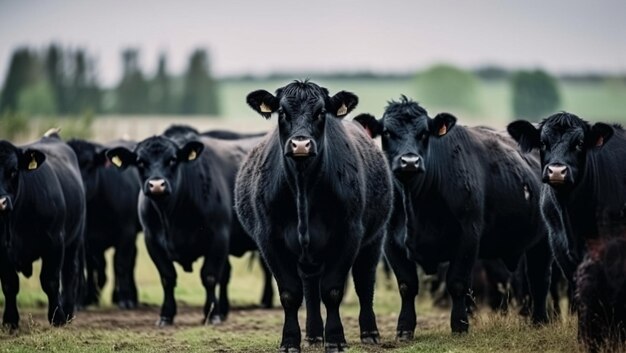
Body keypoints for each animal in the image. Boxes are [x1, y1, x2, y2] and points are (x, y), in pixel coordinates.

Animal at [0, 131, 85, 326]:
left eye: (13, 171)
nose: (1, 202)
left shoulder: (54, 243)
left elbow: (50, 280)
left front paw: (57, 317)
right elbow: (9, 284)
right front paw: (10, 320)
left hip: (74, 240)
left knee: (70, 272)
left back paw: (68, 310)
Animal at [67, 138, 142, 308]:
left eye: (89, 164)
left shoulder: (127, 233)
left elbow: (121, 264)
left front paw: (126, 300)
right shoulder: (84, 239)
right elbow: (85, 265)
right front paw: (82, 299)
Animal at [106, 130, 262, 324]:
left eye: (173, 159)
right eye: (140, 161)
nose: (156, 185)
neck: (172, 218)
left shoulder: (219, 237)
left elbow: (209, 276)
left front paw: (212, 314)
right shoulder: (152, 241)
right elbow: (167, 277)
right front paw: (166, 314)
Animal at [234, 80, 390, 352]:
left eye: (320, 112)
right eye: (282, 112)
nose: (300, 145)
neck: (303, 185)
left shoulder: (349, 235)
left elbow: (333, 290)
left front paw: (336, 339)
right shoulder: (269, 240)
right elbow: (291, 294)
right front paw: (290, 341)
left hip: (374, 238)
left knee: (364, 281)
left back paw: (369, 332)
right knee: (310, 288)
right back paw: (314, 334)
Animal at [354, 95, 548, 336]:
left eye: (424, 133)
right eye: (388, 132)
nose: (410, 161)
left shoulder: (468, 236)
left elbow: (457, 283)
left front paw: (459, 325)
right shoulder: (392, 242)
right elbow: (407, 285)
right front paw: (404, 328)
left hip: (543, 241)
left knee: (539, 279)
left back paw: (539, 321)